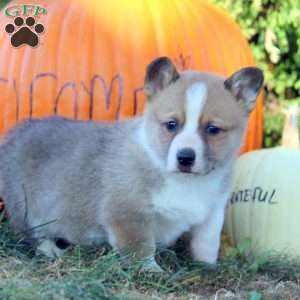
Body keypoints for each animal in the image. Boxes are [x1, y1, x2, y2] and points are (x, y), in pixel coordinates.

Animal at [0, 56, 262, 272]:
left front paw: (207, 267)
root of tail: (14, 134)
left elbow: (206, 243)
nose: (185, 157)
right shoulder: (128, 214)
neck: (184, 182)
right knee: (28, 234)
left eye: (213, 130)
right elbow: (141, 248)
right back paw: (50, 249)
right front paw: (151, 272)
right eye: (171, 124)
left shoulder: (213, 211)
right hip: (24, 207)